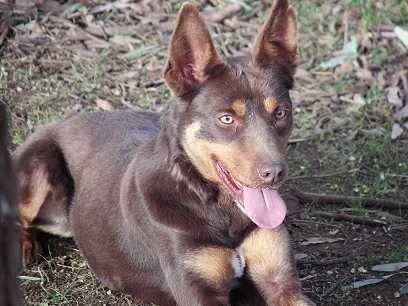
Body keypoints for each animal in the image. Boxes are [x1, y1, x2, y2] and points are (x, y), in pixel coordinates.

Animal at [12, 1, 314, 304]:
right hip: (38, 166)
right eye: (226, 119)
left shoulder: (279, 280)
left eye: (280, 113)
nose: (274, 173)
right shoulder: (197, 290)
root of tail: (60, 121)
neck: (217, 206)